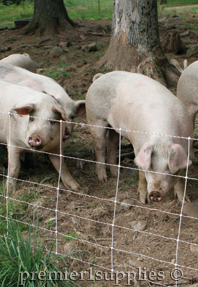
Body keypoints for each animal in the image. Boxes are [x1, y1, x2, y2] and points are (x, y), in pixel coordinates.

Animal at [85, 71, 193, 204]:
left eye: (168, 167)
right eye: (150, 166)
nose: (155, 193)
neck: (162, 140)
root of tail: (100, 77)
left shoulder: (187, 147)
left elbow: (181, 177)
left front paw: (185, 201)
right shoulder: (137, 146)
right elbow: (141, 174)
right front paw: (142, 201)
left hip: (115, 126)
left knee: (112, 143)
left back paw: (116, 174)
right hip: (95, 118)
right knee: (100, 145)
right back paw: (103, 178)